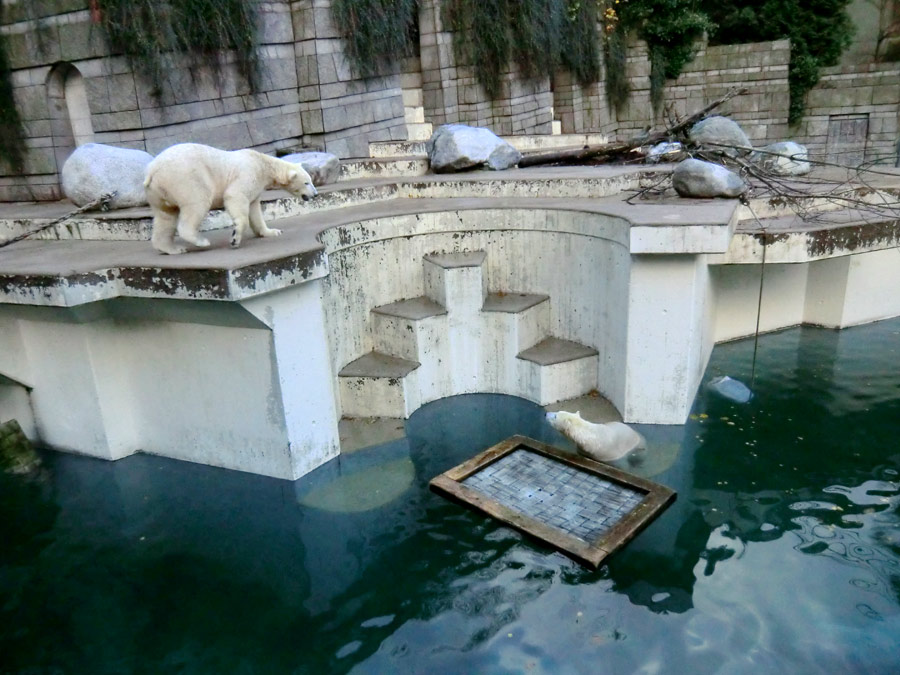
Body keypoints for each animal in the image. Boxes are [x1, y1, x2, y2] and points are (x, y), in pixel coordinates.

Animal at [142, 144, 318, 255]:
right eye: (306, 182)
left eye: (311, 181)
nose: (315, 194)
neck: (262, 163)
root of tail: (152, 170)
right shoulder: (248, 173)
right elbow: (235, 196)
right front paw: (235, 238)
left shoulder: (257, 185)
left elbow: (255, 209)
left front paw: (273, 231)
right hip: (185, 179)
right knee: (197, 204)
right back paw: (201, 241)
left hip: (158, 191)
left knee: (165, 216)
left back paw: (173, 248)